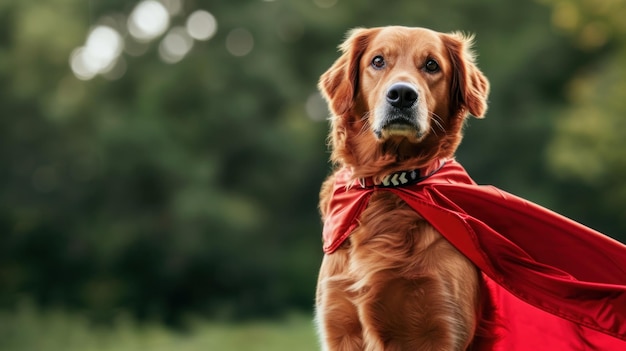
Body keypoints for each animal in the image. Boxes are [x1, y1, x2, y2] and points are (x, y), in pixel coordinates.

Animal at [314, 26, 490, 350]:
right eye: (378, 61)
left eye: (432, 65)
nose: (402, 95)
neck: (389, 183)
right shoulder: (339, 323)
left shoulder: (440, 326)